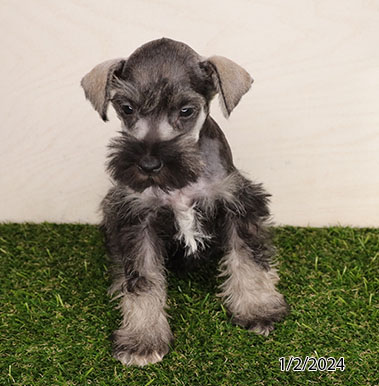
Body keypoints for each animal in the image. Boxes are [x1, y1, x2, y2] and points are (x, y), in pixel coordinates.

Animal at [81, 37, 288, 366]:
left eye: (186, 110)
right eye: (126, 108)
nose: (149, 164)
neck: (180, 181)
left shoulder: (237, 204)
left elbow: (248, 259)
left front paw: (257, 309)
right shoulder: (137, 219)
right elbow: (143, 280)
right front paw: (143, 338)